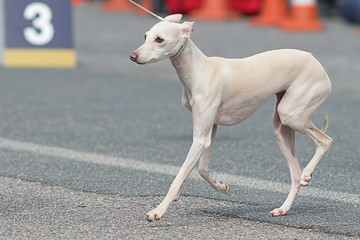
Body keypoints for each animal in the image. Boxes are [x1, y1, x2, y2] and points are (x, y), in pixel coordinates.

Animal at [129, 14, 332, 221]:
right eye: (145, 36)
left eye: (159, 39)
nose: (133, 56)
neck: (198, 71)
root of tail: (315, 61)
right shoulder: (211, 130)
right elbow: (202, 170)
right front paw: (221, 186)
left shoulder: (200, 138)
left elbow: (179, 178)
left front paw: (158, 211)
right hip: (282, 128)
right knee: (295, 175)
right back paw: (283, 207)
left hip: (291, 114)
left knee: (326, 141)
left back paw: (308, 173)